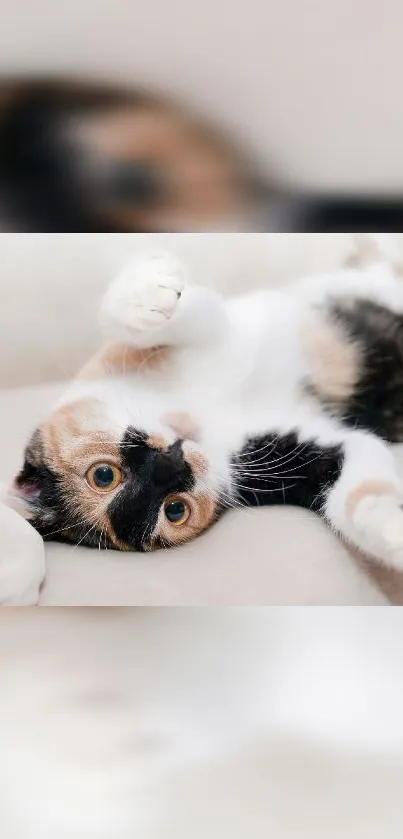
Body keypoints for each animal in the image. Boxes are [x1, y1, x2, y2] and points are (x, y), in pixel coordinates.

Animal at [10, 240, 403, 576]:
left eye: (103, 476)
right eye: (175, 509)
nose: (172, 464)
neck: (203, 412)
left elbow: (143, 321)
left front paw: (146, 298)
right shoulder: (289, 455)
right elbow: (357, 485)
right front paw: (392, 531)